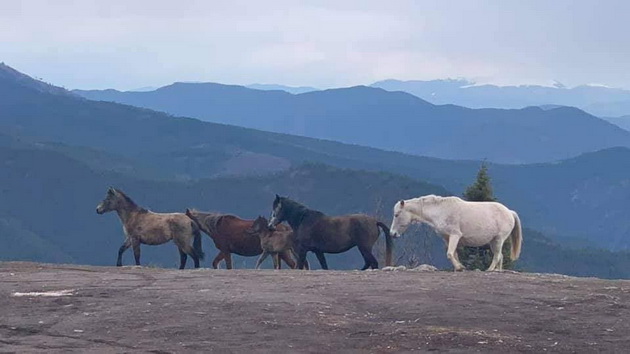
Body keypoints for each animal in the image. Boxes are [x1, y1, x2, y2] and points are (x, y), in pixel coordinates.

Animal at [268, 195, 396, 270]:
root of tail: (374, 222)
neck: (303, 219)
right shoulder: (318, 252)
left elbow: (299, 266)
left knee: (373, 263)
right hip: (363, 248)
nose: (270, 226)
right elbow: (324, 266)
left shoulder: (303, 250)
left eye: (276, 208)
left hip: (364, 247)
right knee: (368, 263)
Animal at [390, 195, 524, 272]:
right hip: (493, 241)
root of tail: (510, 212)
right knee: (500, 256)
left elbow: (450, 253)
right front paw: (459, 267)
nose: (392, 234)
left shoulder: (455, 235)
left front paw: (459, 267)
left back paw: (490, 270)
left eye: (396, 215)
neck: (440, 210)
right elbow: (454, 254)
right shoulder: (447, 238)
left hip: (498, 239)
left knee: (497, 256)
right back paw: (497, 271)